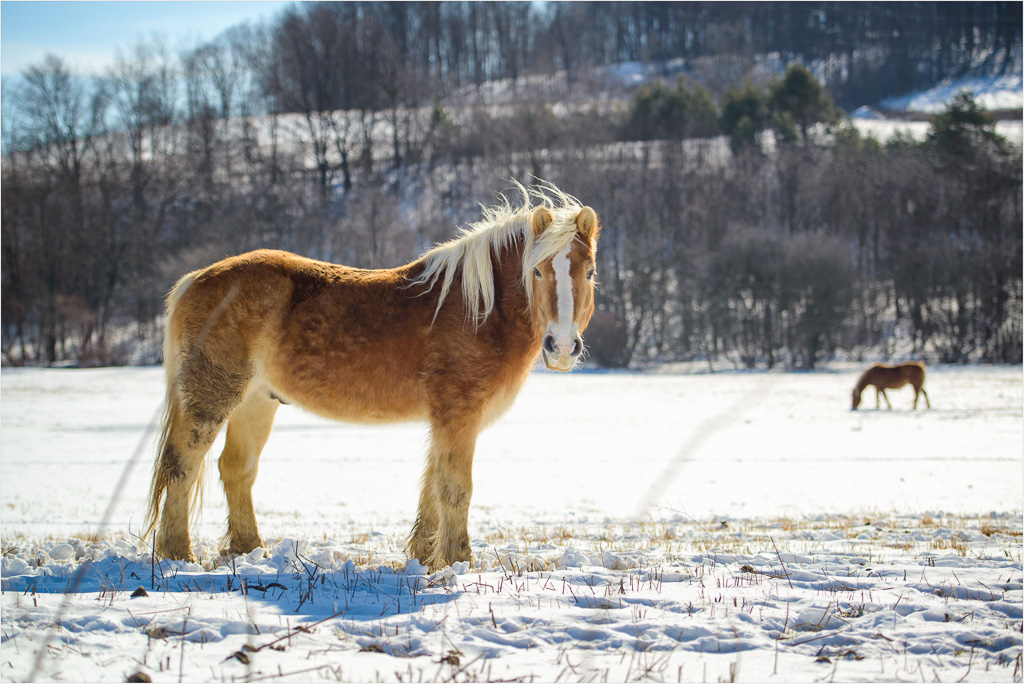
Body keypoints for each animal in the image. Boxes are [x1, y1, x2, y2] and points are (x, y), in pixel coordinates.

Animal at [148, 183, 602, 573]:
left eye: (590, 272)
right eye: (537, 272)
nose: (562, 346)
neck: (479, 311)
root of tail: (195, 280)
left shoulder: (445, 421)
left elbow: (432, 488)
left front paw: (425, 558)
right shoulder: (458, 416)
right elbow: (456, 489)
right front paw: (459, 562)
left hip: (257, 400)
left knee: (236, 469)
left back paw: (249, 551)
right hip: (211, 397)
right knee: (182, 465)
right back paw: (179, 555)